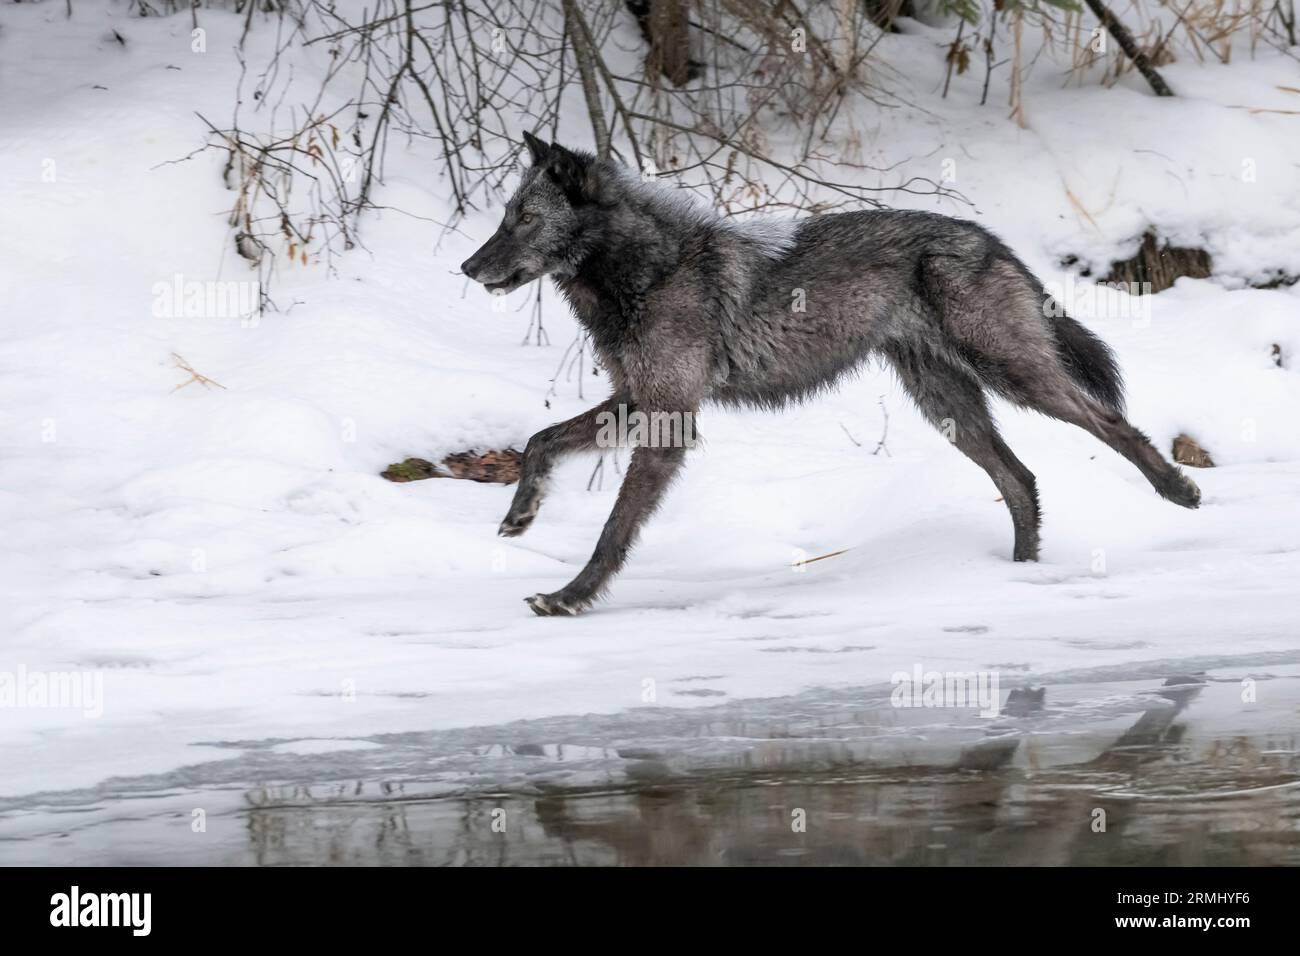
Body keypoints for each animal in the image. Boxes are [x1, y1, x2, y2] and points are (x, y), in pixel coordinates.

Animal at [461, 133, 1201, 616]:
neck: (648, 270)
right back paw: (1016, 578)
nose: (467, 268)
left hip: (1012, 376)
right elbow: (542, 440)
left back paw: (1177, 489)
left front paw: (570, 597)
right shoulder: (637, 400)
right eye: (505, 217)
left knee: (1108, 421)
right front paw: (521, 515)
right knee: (1021, 479)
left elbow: (613, 530)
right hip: (950, 408)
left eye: (526, 219)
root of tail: (989, 237)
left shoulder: (669, 419)